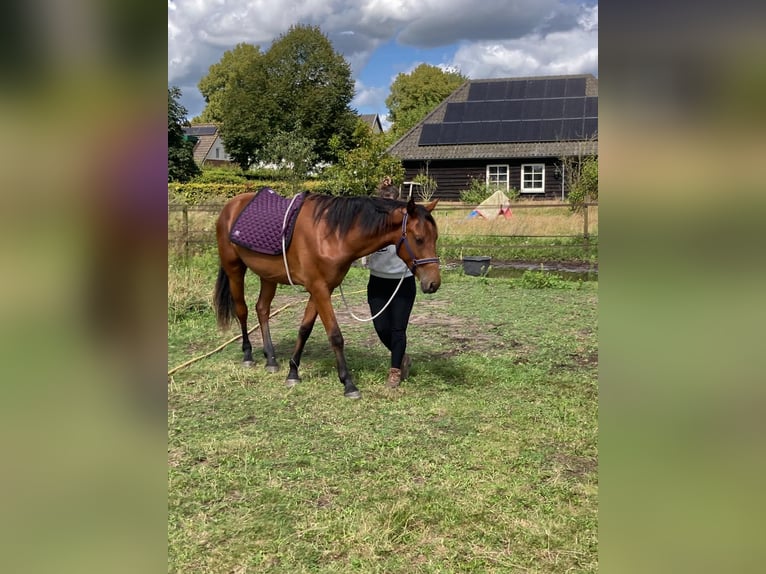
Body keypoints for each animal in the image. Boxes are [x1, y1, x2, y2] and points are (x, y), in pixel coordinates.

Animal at [216, 191, 444, 398]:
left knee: (262, 309)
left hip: (268, 276)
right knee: (242, 310)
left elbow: (304, 329)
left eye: (435, 237)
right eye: (419, 239)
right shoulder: (319, 289)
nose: (433, 283)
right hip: (234, 269)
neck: (330, 235)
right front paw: (348, 383)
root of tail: (231, 206)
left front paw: (293, 372)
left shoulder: (322, 289)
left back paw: (271, 360)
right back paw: (248, 355)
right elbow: (335, 335)